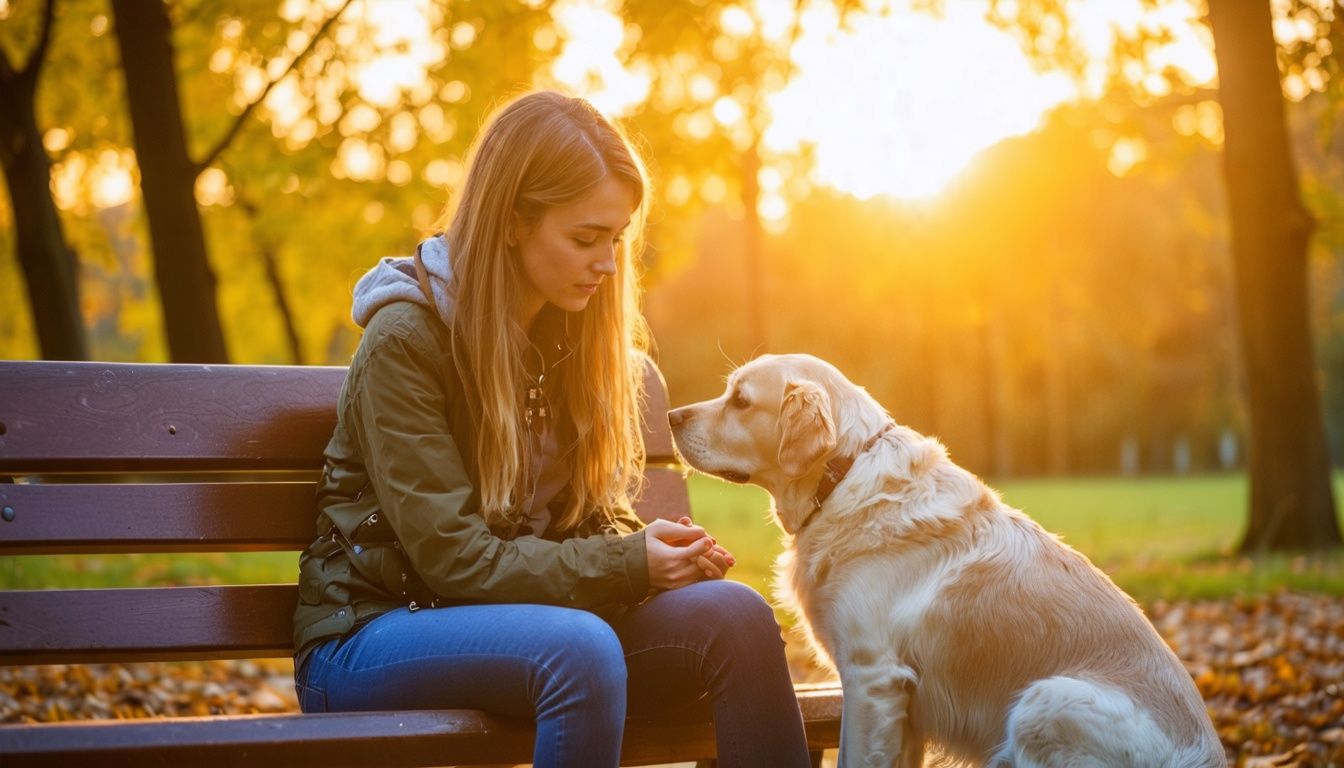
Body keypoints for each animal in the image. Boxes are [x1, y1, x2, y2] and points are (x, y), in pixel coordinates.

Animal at [666, 355, 1225, 768]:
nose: (671, 416)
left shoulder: (872, 678)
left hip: (1043, 702)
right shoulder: (902, 706)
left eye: (741, 400)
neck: (843, 476)